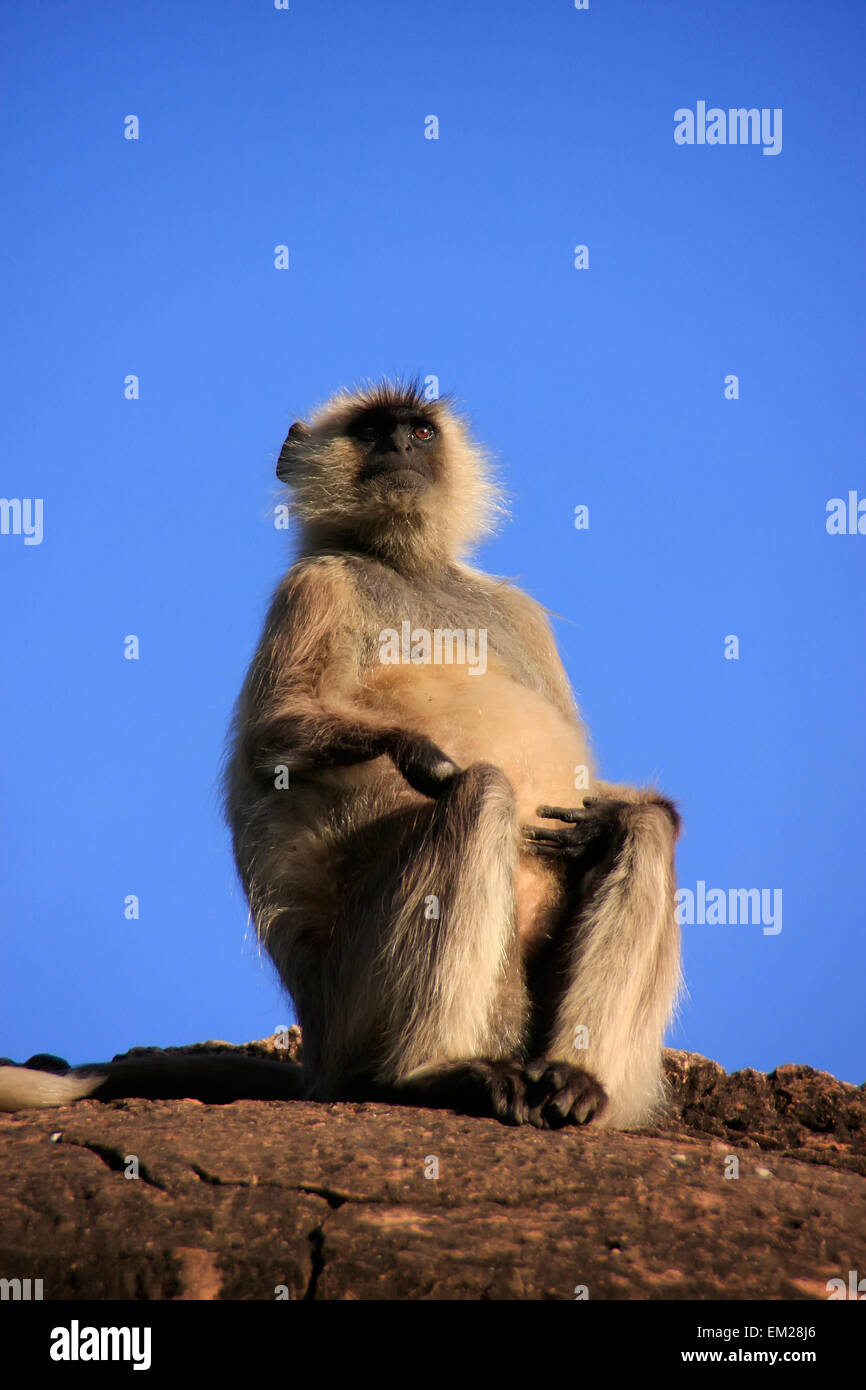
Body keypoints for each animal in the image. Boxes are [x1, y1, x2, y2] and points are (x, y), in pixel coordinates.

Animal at [0, 383, 683, 1128]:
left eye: (419, 431)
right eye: (374, 430)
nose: (401, 446)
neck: (405, 569)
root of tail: (320, 1060)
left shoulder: (518, 613)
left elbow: (597, 792)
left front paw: (603, 818)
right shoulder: (316, 585)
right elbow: (273, 739)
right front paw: (415, 751)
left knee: (644, 831)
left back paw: (572, 1077)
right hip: (358, 996)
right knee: (480, 793)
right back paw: (432, 1073)